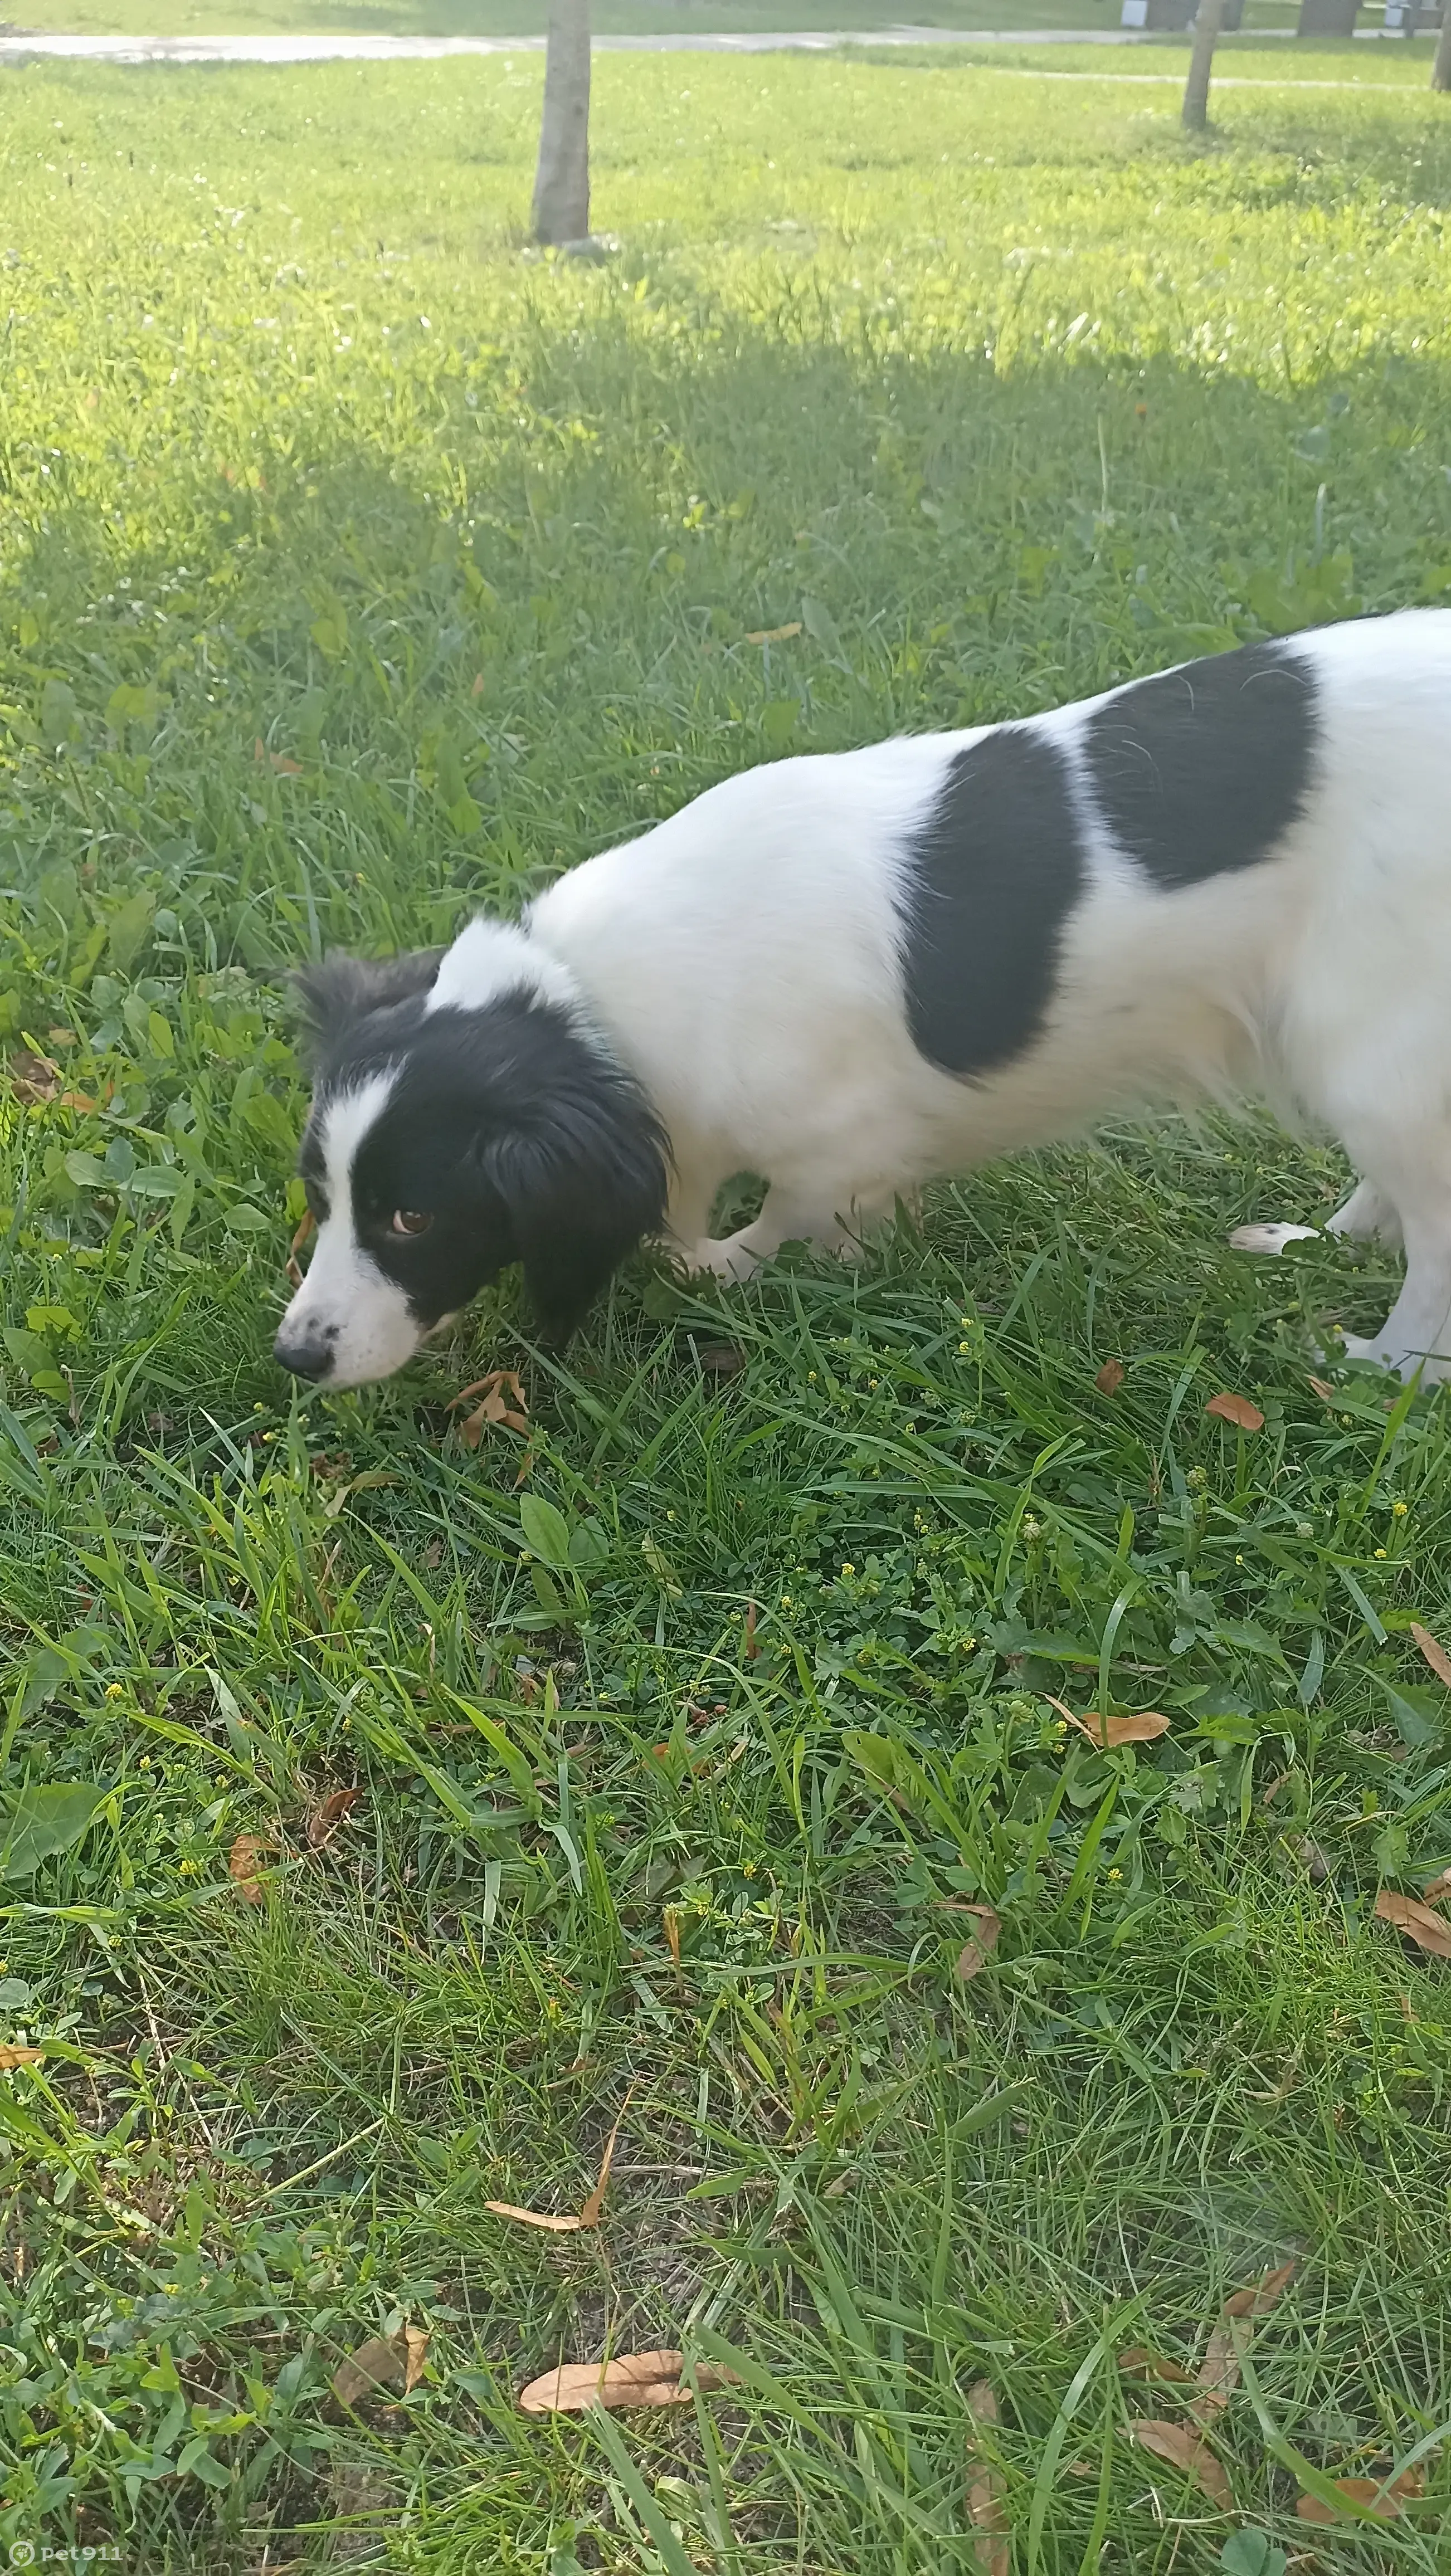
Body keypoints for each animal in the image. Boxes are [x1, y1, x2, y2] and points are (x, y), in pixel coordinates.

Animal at [278, 608, 1451, 1391]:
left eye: (414, 1215)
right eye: (320, 1194)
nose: (292, 1355)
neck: (598, 1003)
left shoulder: (838, 1142)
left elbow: (777, 1223)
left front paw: (731, 1267)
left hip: (1375, 1053)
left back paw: (1378, 1366)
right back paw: (1321, 1246)